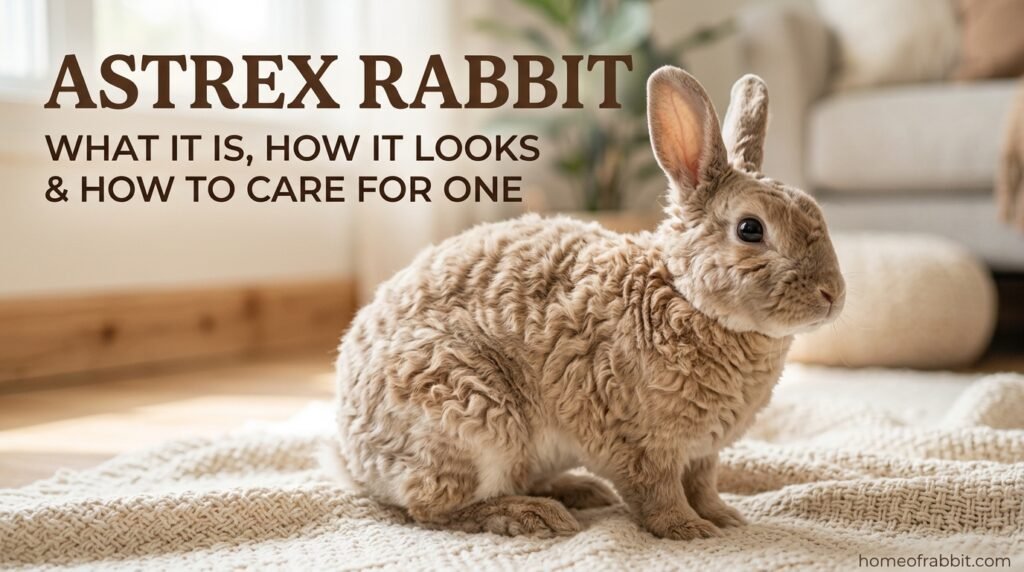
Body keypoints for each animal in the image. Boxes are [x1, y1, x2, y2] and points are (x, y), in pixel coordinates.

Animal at [325, 66, 845, 540]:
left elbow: (703, 485)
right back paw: (532, 516)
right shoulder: (641, 442)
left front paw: (724, 517)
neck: (685, 297)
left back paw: (578, 491)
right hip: (472, 419)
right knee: (432, 508)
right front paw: (690, 530)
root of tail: (353, 458)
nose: (833, 296)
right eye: (750, 229)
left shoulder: (702, 452)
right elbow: (659, 493)